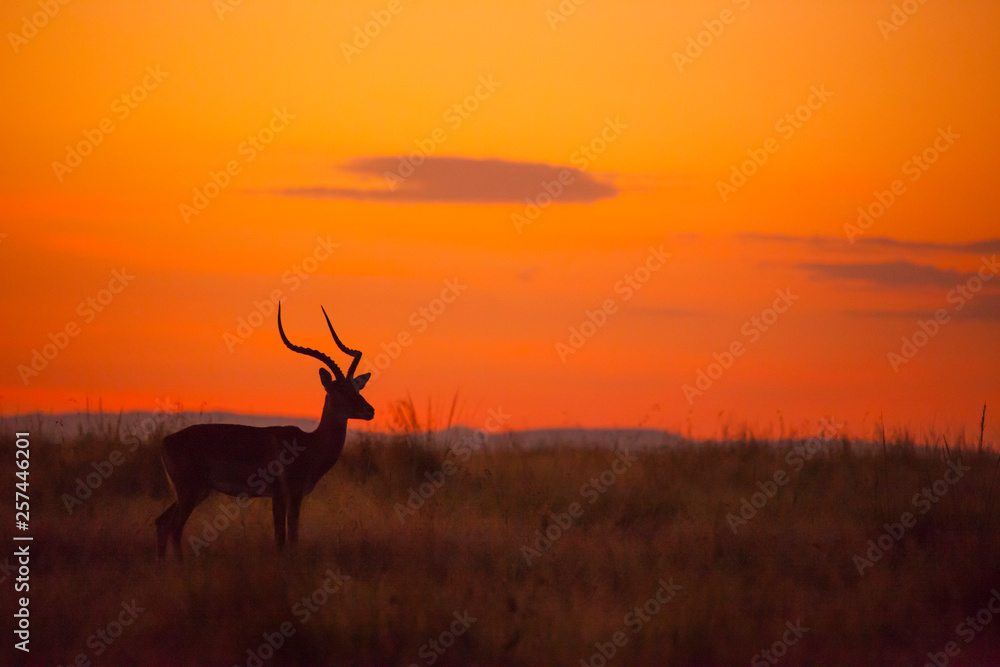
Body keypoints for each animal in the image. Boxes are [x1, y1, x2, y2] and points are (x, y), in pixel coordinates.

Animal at [155, 303, 374, 560]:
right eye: (341, 390)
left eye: (357, 388)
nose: (370, 411)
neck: (308, 445)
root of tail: (165, 441)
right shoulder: (282, 495)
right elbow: (283, 538)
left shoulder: (294, 496)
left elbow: (291, 537)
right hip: (190, 491)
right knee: (174, 528)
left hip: (196, 492)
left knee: (162, 522)